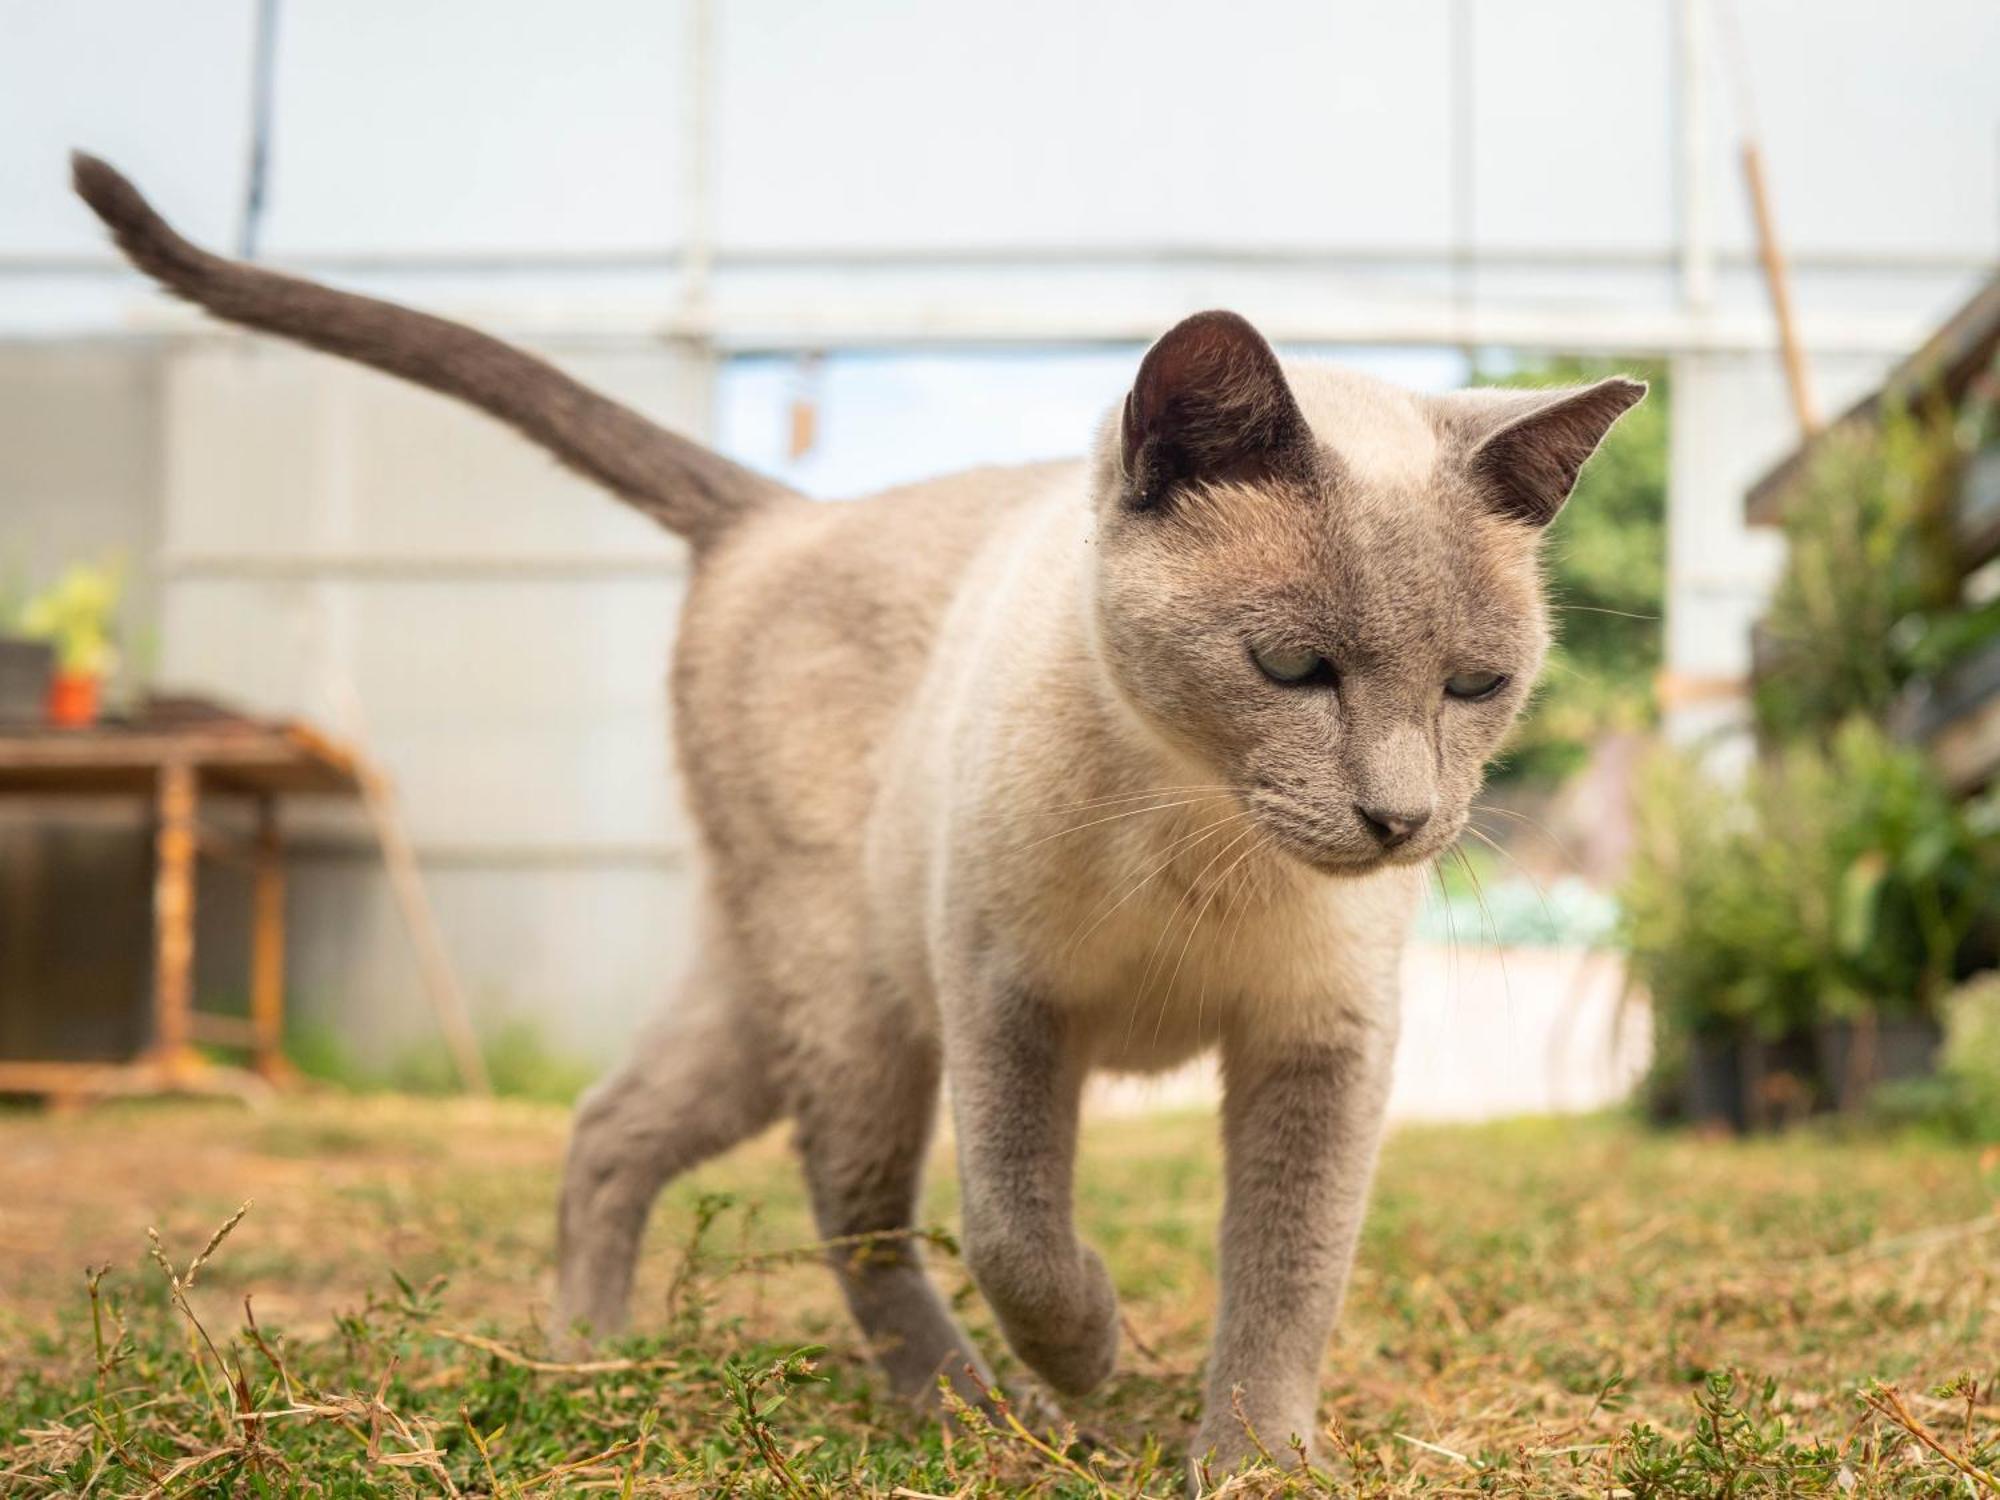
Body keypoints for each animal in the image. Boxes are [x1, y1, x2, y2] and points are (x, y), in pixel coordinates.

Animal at [74, 156, 1640, 1480]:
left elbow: (1285, 1268)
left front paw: (1253, 1459)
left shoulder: (1321, 1040)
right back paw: (972, 1411)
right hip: (853, 991)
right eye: (1293, 670)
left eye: (1476, 687)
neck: (1199, 840)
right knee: (853, 1202)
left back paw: (590, 1362)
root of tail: (783, 513)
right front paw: (1095, 1352)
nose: (1399, 817)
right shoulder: (1007, 997)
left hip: (768, 1000)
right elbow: (1018, 1231)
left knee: (612, 1126)